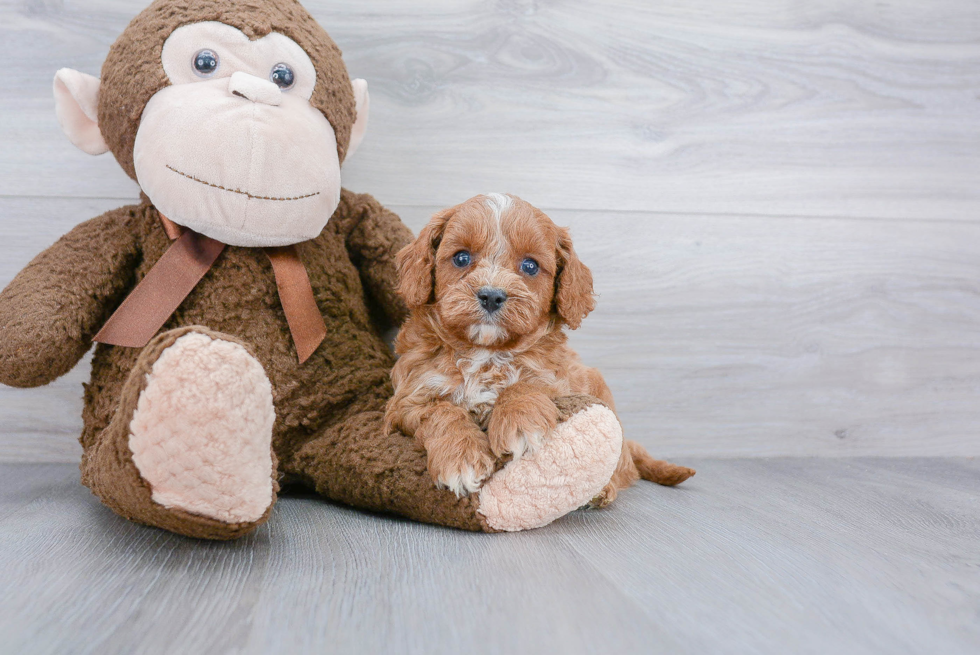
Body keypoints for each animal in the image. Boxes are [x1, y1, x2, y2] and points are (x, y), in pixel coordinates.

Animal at [378, 192, 692, 500]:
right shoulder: (408, 399)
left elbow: (525, 384)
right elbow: (441, 412)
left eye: (530, 266)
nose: (491, 296)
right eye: (461, 258)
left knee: (625, 469)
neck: (486, 352)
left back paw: (602, 490)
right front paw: (461, 458)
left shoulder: (561, 383)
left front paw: (519, 424)